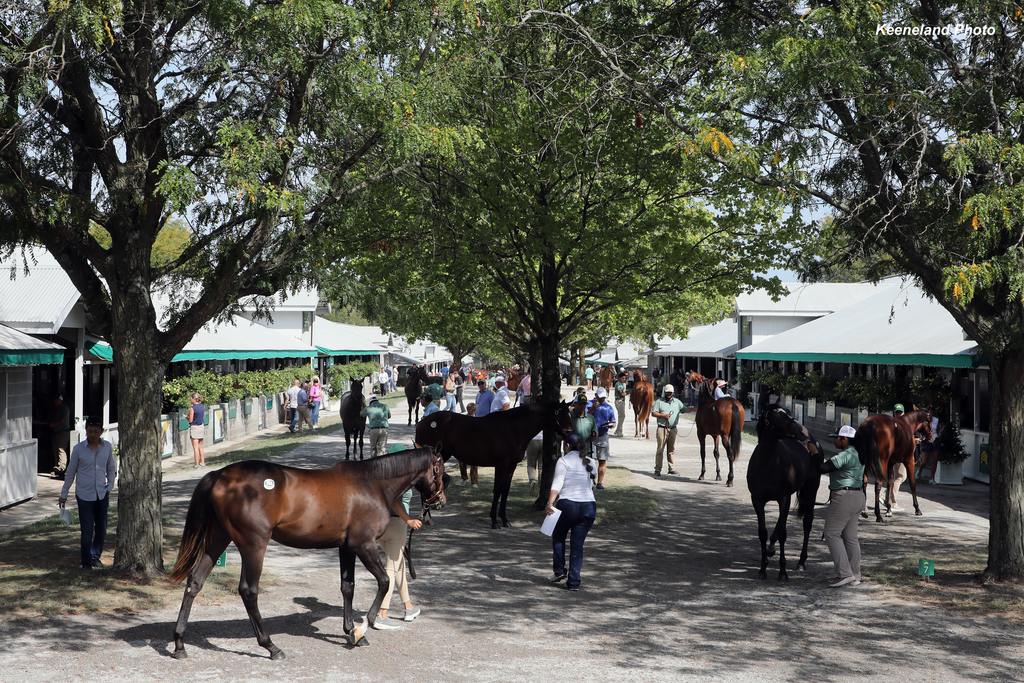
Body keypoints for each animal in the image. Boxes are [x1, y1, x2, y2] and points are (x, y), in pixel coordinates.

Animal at [169, 446, 446, 659]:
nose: (440, 501)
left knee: (194, 582)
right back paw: (270, 646)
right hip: (253, 545)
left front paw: (350, 632)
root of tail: (219, 476)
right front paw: (360, 630)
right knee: (248, 591)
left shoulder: (346, 547)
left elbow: (348, 587)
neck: (371, 484)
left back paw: (180, 643)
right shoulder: (363, 545)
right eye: (441, 470)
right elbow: (384, 581)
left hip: (218, 538)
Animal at [415, 401, 577, 528]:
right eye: (558, 413)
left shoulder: (511, 465)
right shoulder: (501, 465)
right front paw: (494, 521)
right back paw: (427, 517)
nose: (570, 433)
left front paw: (504, 520)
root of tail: (422, 423)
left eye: (569, 413)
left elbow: (505, 490)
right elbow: (498, 490)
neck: (514, 429)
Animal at [745, 405, 823, 581]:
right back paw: (771, 550)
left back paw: (801, 562)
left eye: (788, 414)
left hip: (811, 489)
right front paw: (763, 568)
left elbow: (782, 533)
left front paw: (782, 571)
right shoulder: (757, 500)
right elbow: (763, 532)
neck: (768, 464)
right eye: (781, 417)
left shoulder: (784, 499)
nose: (802, 431)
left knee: (807, 522)